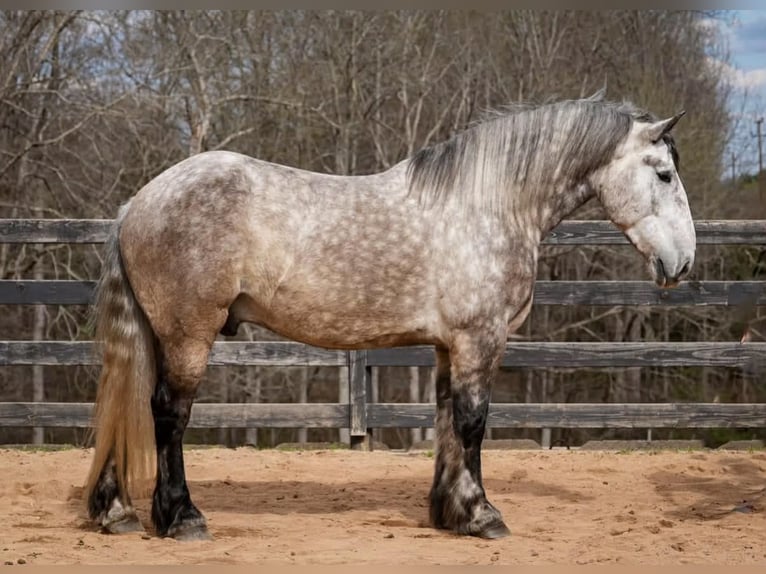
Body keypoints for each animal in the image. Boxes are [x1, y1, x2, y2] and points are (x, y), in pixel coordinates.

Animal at [83, 93, 695, 541]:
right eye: (664, 174)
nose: (683, 262)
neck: (488, 206)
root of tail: (138, 203)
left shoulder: (450, 346)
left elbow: (447, 421)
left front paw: (448, 513)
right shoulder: (480, 340)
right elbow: (473, 423)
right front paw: (482, 515)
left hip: (157, 334)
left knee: (131, 401)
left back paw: (117, 512)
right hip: (189, 335)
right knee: (168, 415)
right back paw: (182, 518)